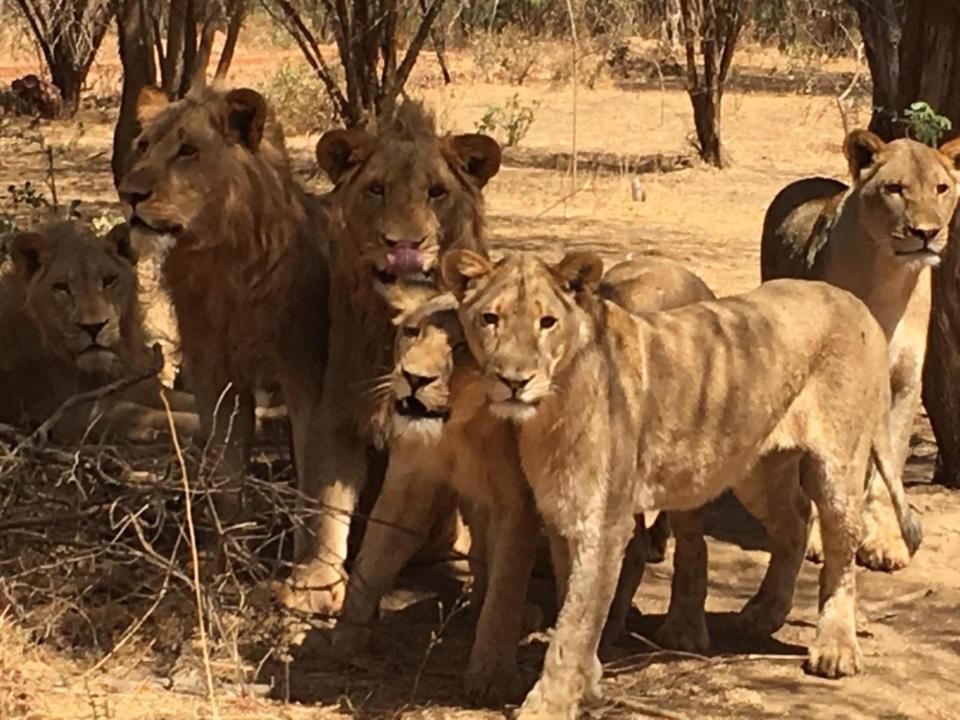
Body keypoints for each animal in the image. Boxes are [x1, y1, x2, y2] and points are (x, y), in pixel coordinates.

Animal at [116, 87, 330, 528]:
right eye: (143, 146)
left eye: (188, 150)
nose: (129, 195)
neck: (221, 262)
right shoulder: (216, 377)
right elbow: (227, 480)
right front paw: (229, 540)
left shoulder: (306, 378)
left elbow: (310, 484)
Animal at [278, 100, 502, 612]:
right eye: (375, 190)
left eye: (436, 192)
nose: (404, 245)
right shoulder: (338, 410)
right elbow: (326, 497)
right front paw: (315, 583)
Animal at [442, 250, 924, 716]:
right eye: (490, 318)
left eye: (547, 321)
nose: (514, 381)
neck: (549, 408)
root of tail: (850, 300)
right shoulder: (563, 510)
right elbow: (571, 603)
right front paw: (587, 681)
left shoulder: (603, 524)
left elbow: (574, 624)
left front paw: (548, 705)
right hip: (755, 467)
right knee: (795, 521)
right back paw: (759, 615)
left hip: (839, 463)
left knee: (840, 546)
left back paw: (835, 648)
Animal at [760, 128, 956, 568]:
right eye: (895, 189)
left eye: (942, 189)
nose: (926, 233)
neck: (890, 279)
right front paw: (819, 538)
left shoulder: (904, 382)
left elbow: (890, 465)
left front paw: (885, 540)